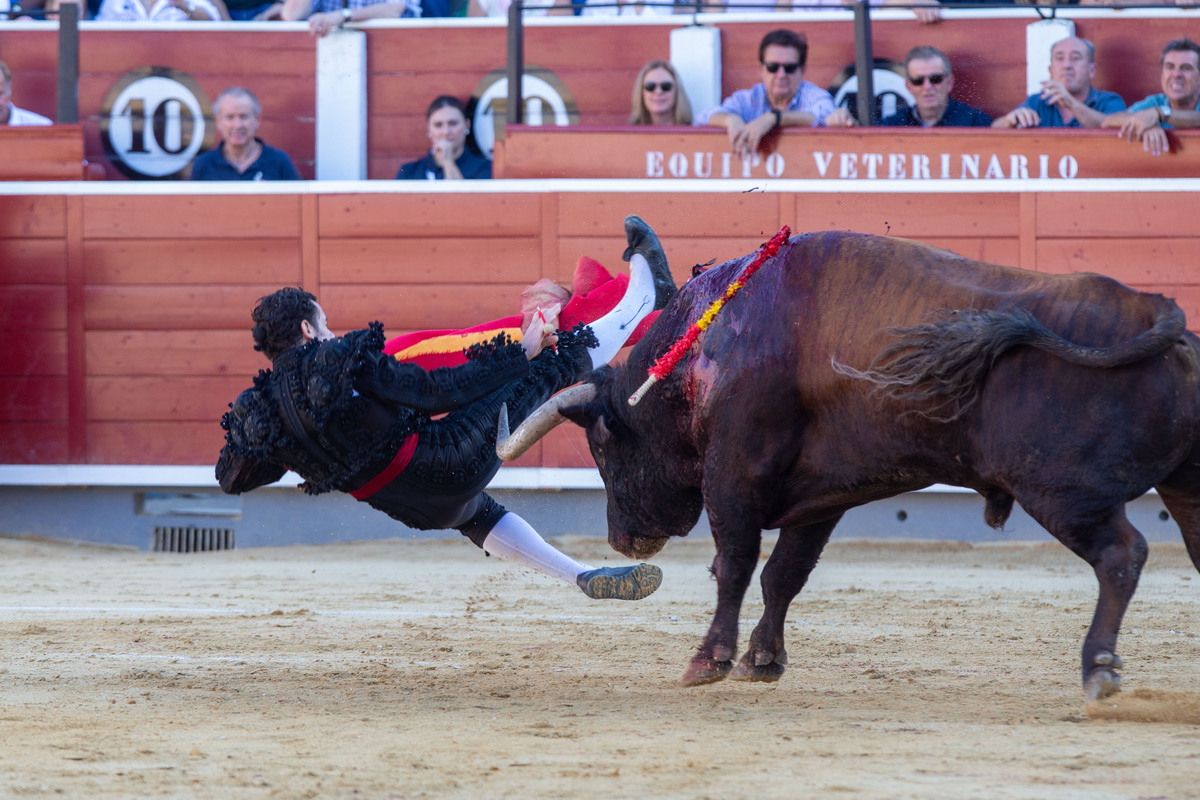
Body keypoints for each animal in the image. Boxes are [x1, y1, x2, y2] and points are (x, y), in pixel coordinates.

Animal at [496, 224, 1200, 700]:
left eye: (602, 443)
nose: (624, 539)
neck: (708, 346)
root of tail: (1157, 312)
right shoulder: (822, 494)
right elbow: (784, 575)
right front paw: (763, 661)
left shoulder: (734, 478)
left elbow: (735, 567)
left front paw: (710, 660)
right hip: (1185, 488)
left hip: (1063, 491)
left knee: (1122, 553)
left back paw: (1099, 669)